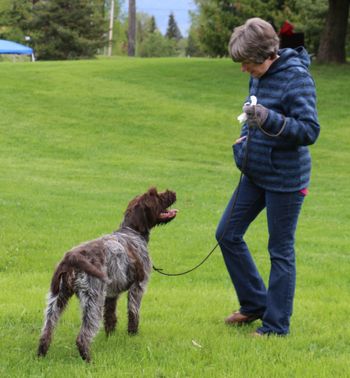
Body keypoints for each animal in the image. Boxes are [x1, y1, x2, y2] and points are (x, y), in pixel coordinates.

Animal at [37, 188, 178, 362]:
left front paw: (110, 336)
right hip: (93, 299)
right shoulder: (138, 287)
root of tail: (71, 258)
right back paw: (88, 359)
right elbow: (133, 313)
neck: (132, 232)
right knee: (82, 336)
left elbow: (110, 317)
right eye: (155, 194)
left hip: (57, 297)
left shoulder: (111, 294)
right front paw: (132, 334)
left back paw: (41, 354)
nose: (173, 192)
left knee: (47, 330)